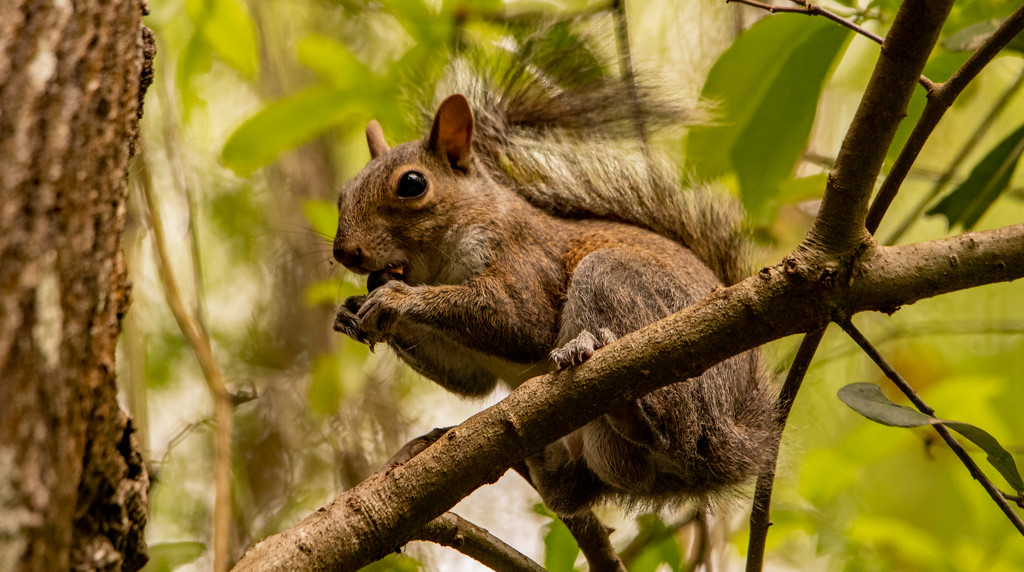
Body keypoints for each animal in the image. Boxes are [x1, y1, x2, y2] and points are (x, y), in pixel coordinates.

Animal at [331, 50, 778, 515]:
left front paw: (396, 299)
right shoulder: (469, 363)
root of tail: (734, 439)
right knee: (581, 489)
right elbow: (469, 380)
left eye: (412, 184)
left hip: (621, 291)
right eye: (342, 194)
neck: (437, 269)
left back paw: (621, 397)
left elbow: (519, 322)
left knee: (677, 430)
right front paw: (349, 312)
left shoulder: (523, 260)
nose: (345, 252)